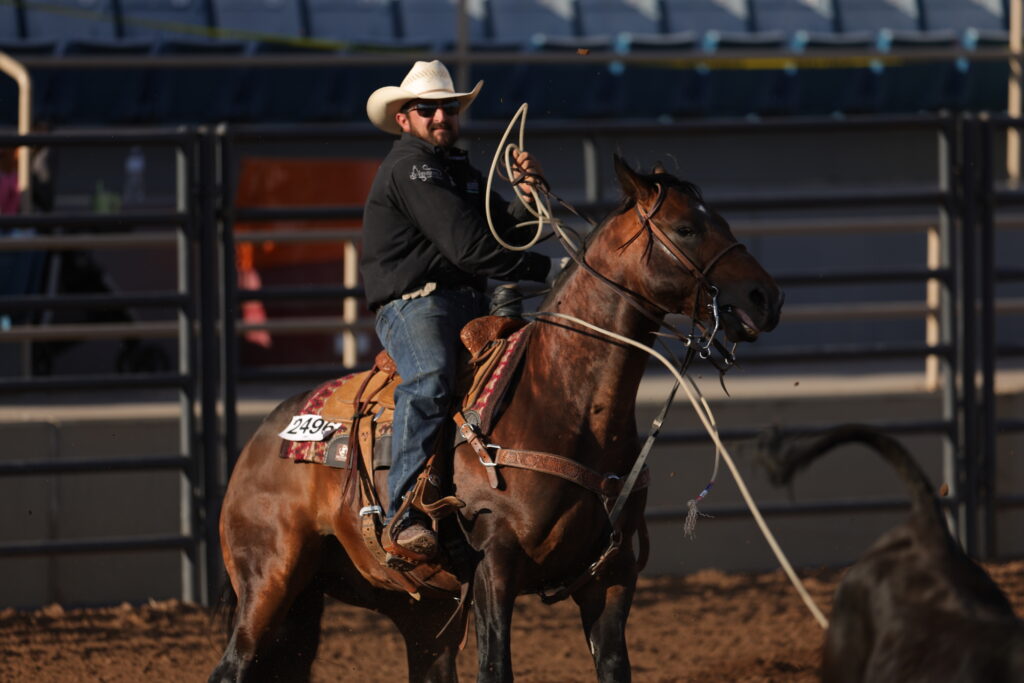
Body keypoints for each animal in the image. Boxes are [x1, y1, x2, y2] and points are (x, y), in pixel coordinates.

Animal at [209, 155, 783, 682]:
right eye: (686, 228)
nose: (767, 297)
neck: (565, 404)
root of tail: (258, 441)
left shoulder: (611, 577)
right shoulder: (494, 567)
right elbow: (495, 667)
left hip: (412, 613)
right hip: (269, 582)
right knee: (232, 667)